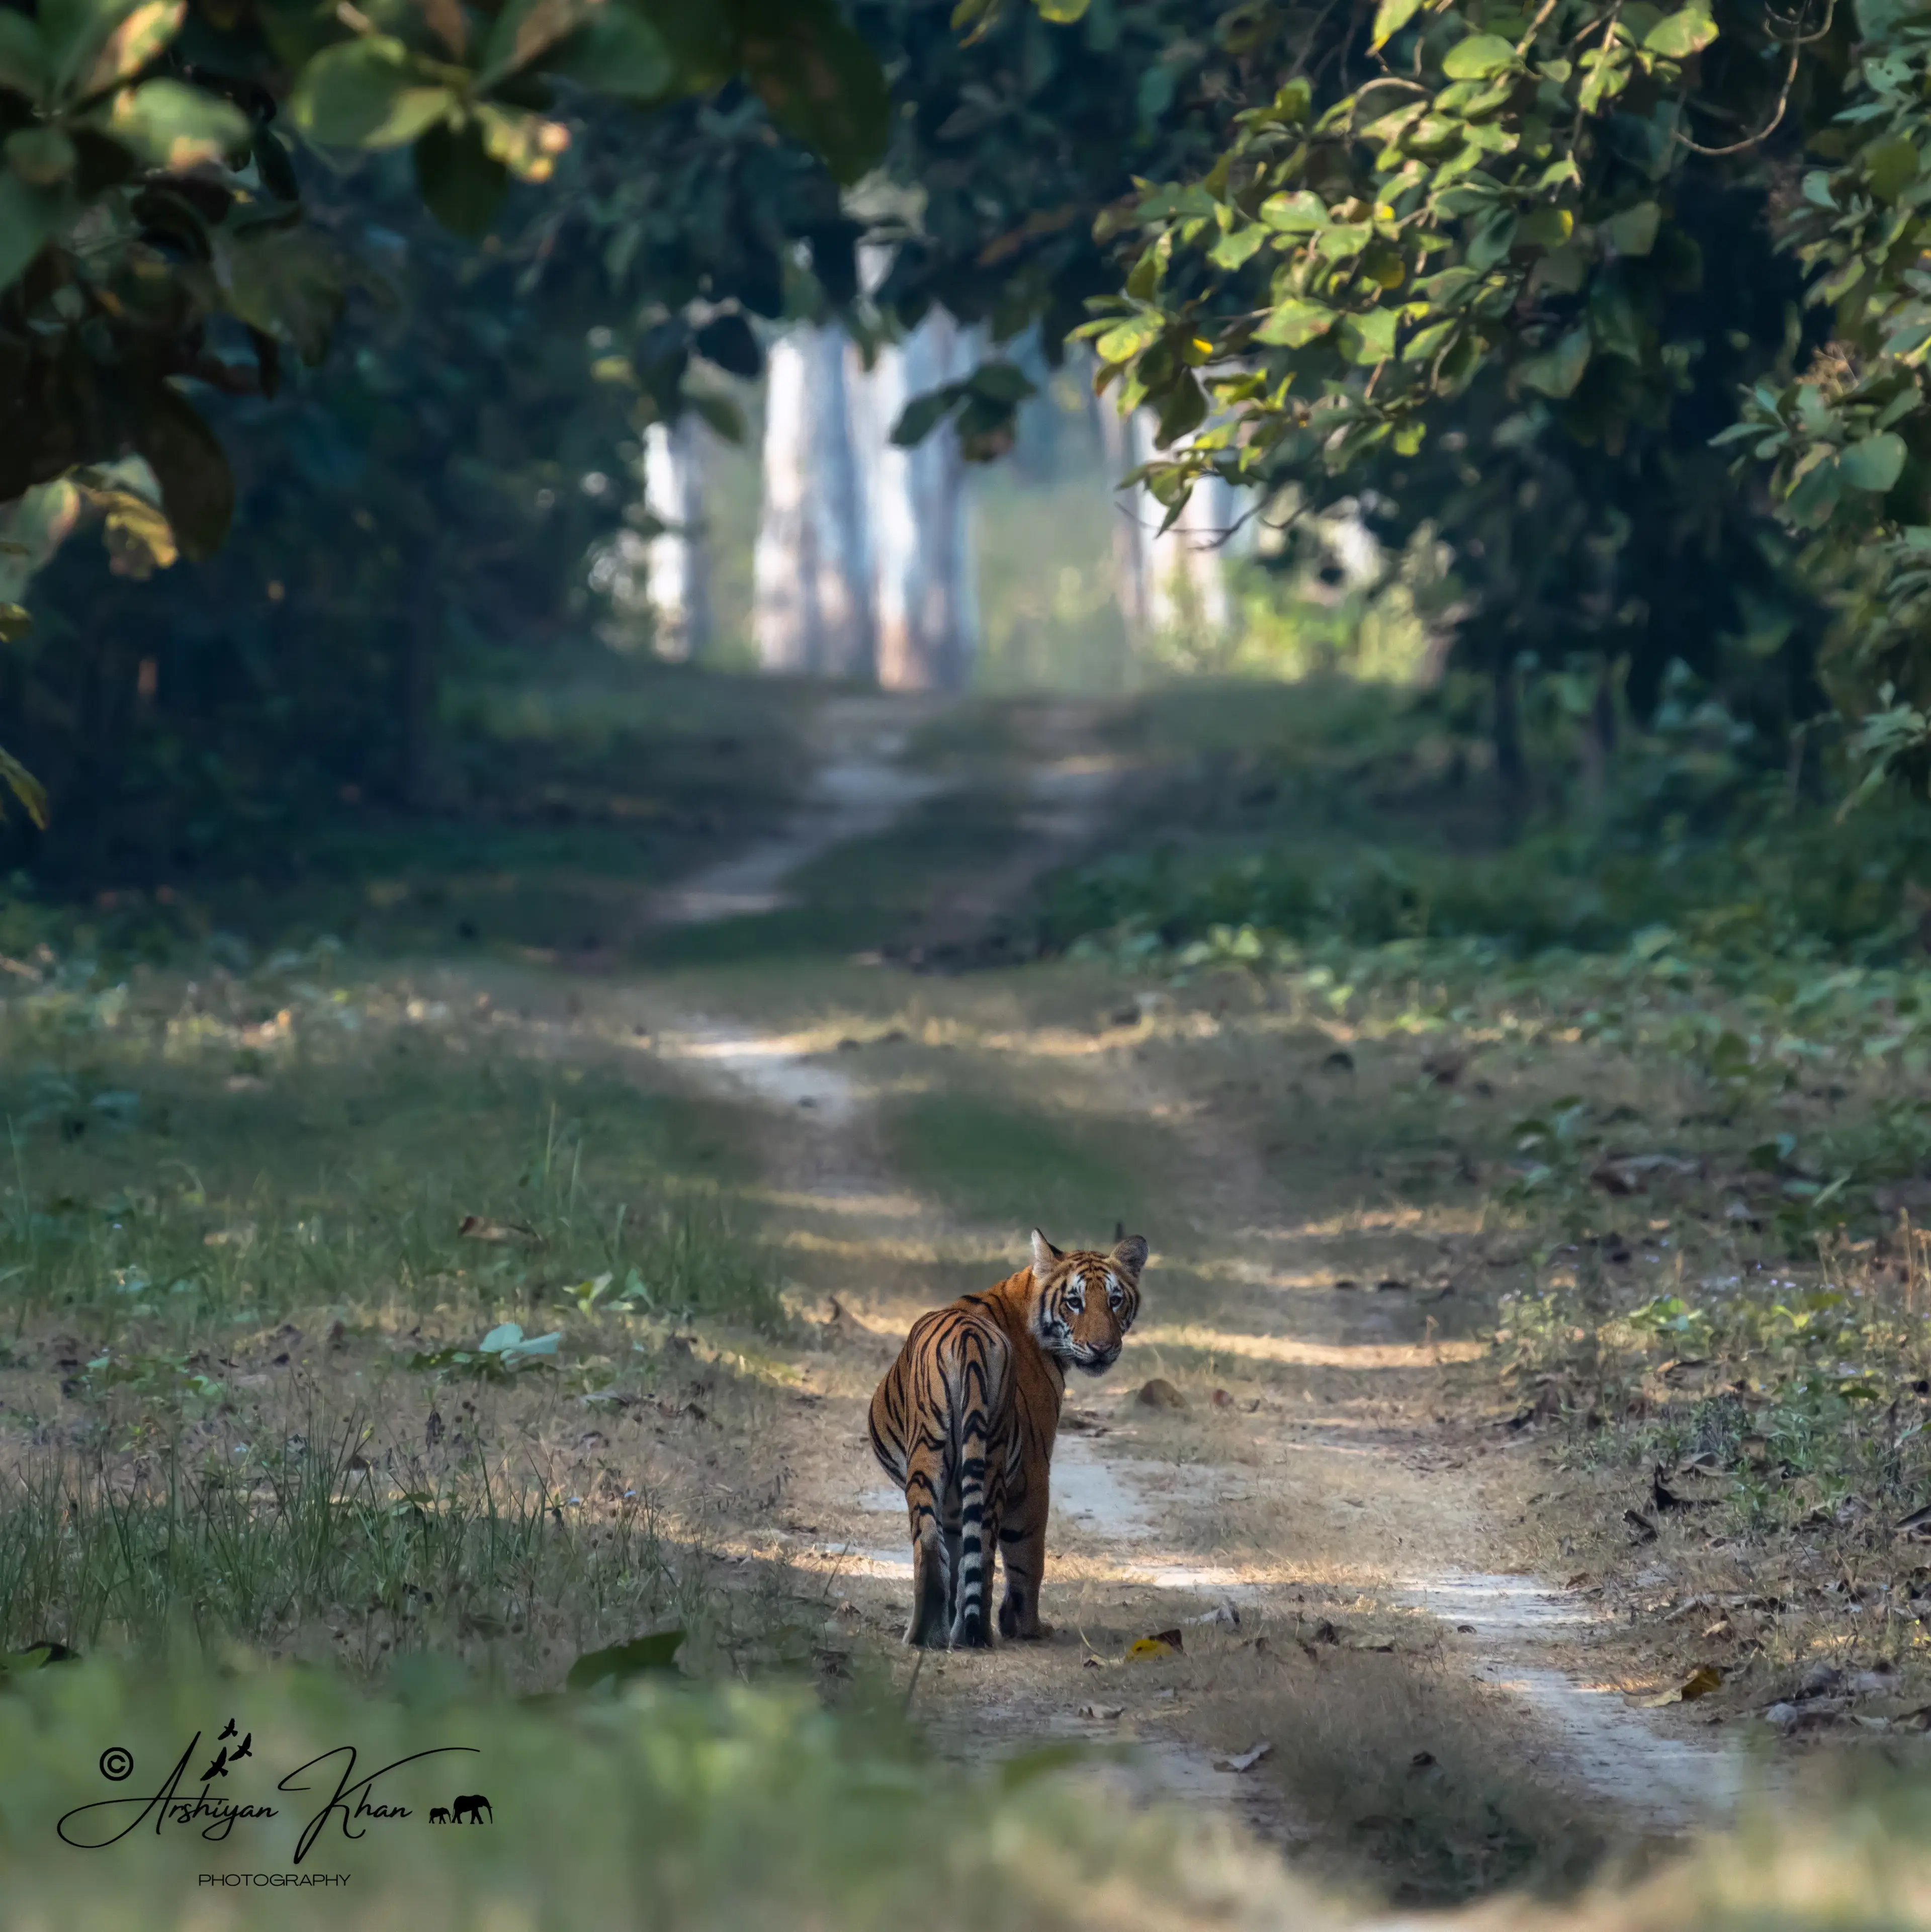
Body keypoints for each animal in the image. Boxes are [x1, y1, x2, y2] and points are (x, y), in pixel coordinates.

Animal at [867, 1227, 1148, 1649]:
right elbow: (1028, 1557)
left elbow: (955, 1549)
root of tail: (967, 1338)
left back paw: (924, 1635)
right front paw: (1027, 1626)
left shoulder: (953, 1496)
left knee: (931, 1543)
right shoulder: (1033, 1468)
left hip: (929, 1452)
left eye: (1115, 1300)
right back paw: (977, 1633)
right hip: (994, 1460)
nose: (1102, 1348)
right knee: (985, 1552)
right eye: (1075, 1302)